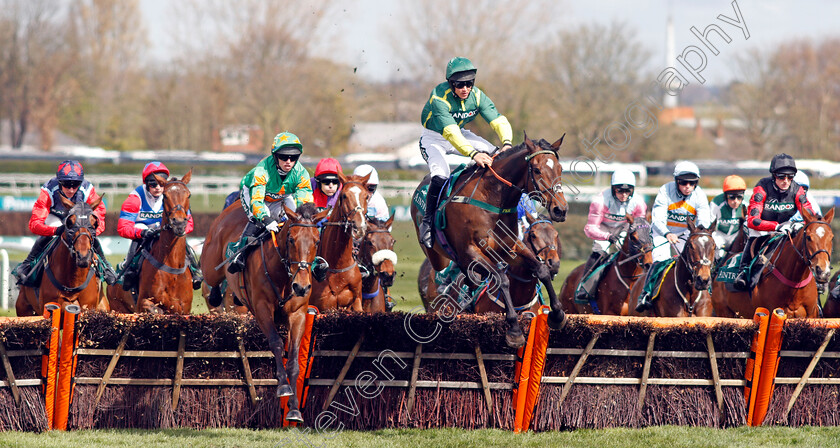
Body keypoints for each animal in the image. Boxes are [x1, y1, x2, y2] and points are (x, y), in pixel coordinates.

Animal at [308, 172, 370, 312]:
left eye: (366, 196)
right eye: (344, 195)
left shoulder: (356, 301)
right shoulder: (322, 306)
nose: (359, 227)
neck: (338, 266)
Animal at [410, 135, 568, 348]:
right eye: (536, 170)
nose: (560, 209)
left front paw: (557, 315)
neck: (492, 198)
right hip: (437, 257)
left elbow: (540, 269)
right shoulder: (470, 251)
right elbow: (501, 278)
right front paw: (514, 329)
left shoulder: (511, 246)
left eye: (560, 169)